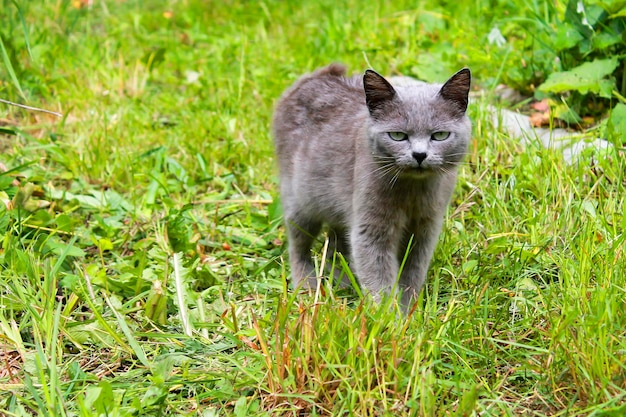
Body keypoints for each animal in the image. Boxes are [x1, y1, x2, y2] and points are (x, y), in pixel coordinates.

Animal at [272, 62, 468, 308]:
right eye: (397, 135)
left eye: (440, 135)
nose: (419, 155)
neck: (412, 193)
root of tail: (316, 76)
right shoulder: (371, 228)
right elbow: (379, 276)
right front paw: (387, 314)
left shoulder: (426, 228)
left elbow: (412, 272)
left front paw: (409, 309)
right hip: (300, 201)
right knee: (299, 246)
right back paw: (306, 286)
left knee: (336, 244)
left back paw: (343, 283)